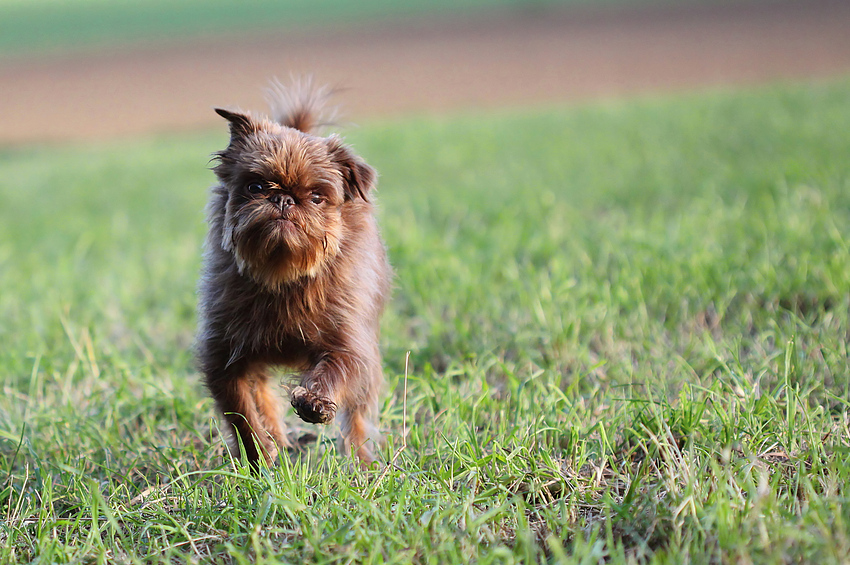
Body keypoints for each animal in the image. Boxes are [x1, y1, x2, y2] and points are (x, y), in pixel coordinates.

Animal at [195, 80, 390, 468]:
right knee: (264, 396)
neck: (281, 276)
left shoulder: (348, 344)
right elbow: (243, 413)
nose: (284, 199)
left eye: (316, 196)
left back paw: (361, 461)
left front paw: (314, 402)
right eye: (255, 187)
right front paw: (259, 458)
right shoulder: (225, 357)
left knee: (359, 412)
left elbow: (336, 370)